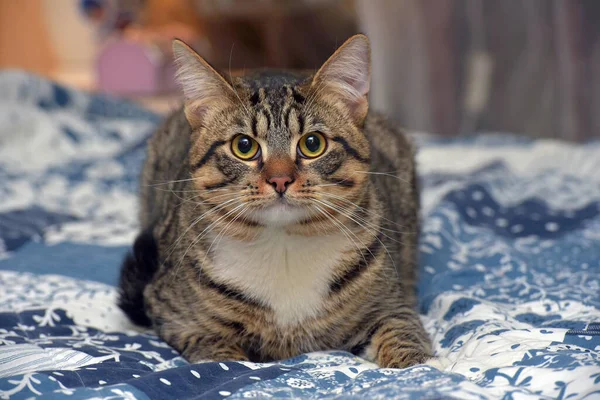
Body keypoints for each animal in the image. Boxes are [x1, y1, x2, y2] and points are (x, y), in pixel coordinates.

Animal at [118, 35, 432, 368]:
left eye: (312, 143)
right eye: (243, 146)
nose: (280, 179)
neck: (283, 248)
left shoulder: (391, 304)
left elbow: (402, 332)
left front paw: (418, 368)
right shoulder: (176, 315)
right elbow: (220, 356)